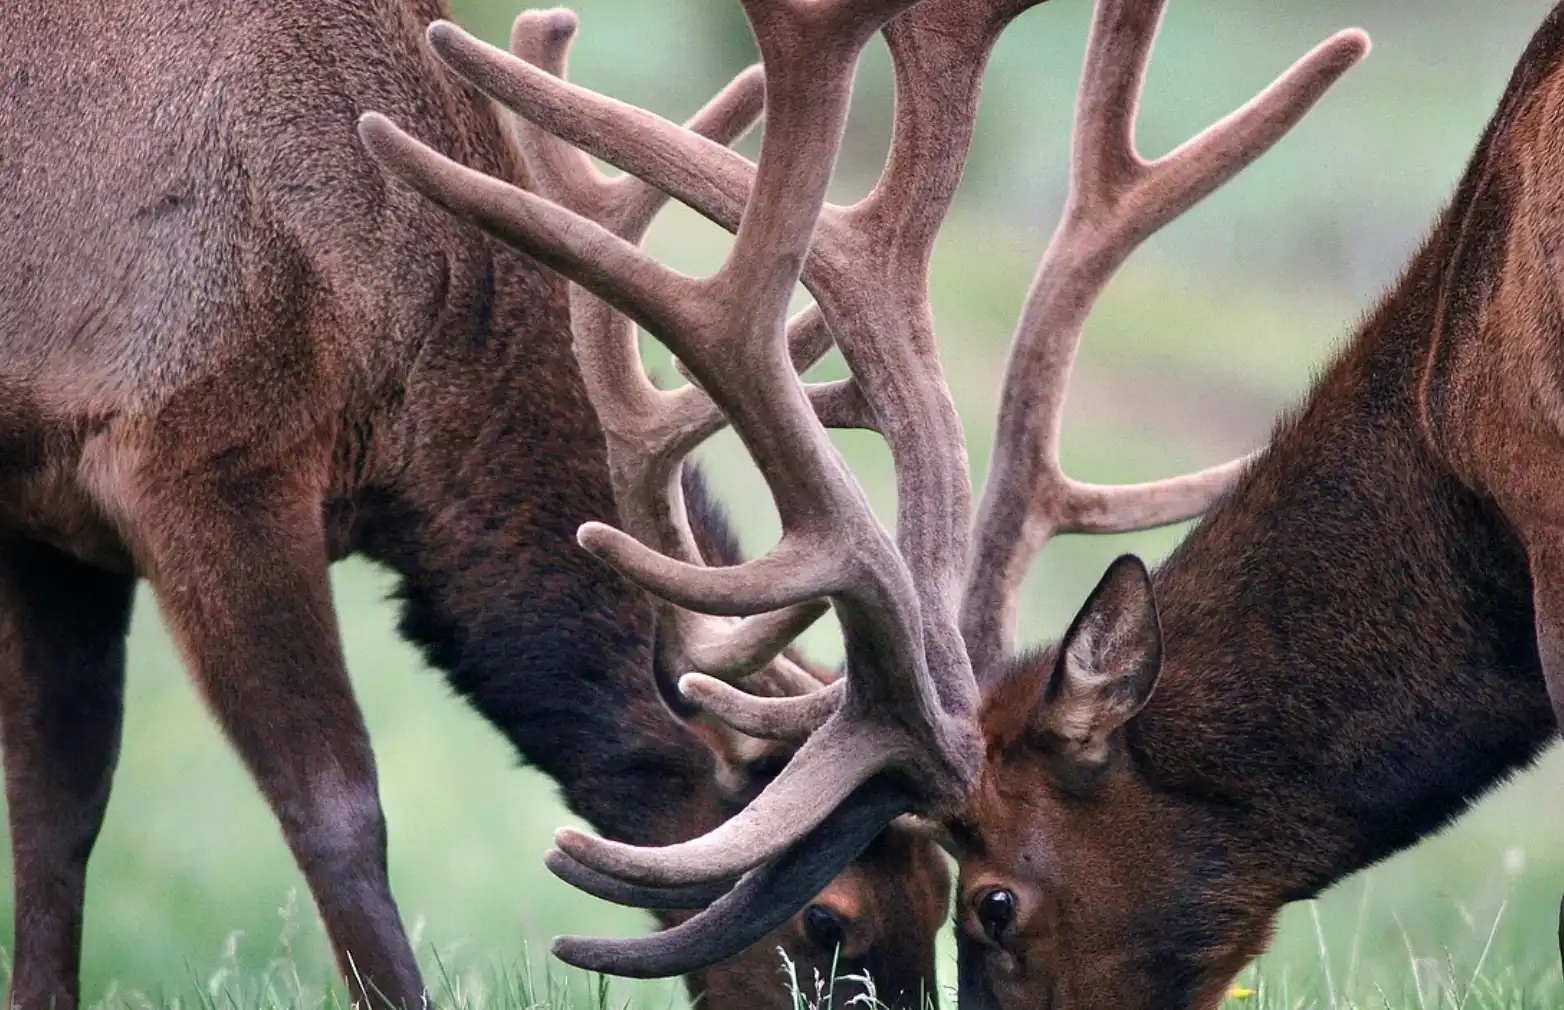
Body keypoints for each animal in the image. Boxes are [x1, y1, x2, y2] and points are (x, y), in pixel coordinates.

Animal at [0, 1, 950, 1010]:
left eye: (941, 894)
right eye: (828, 919)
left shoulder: (47, 512)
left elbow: (55, 809)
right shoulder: (200, 458)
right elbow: (335, 808)